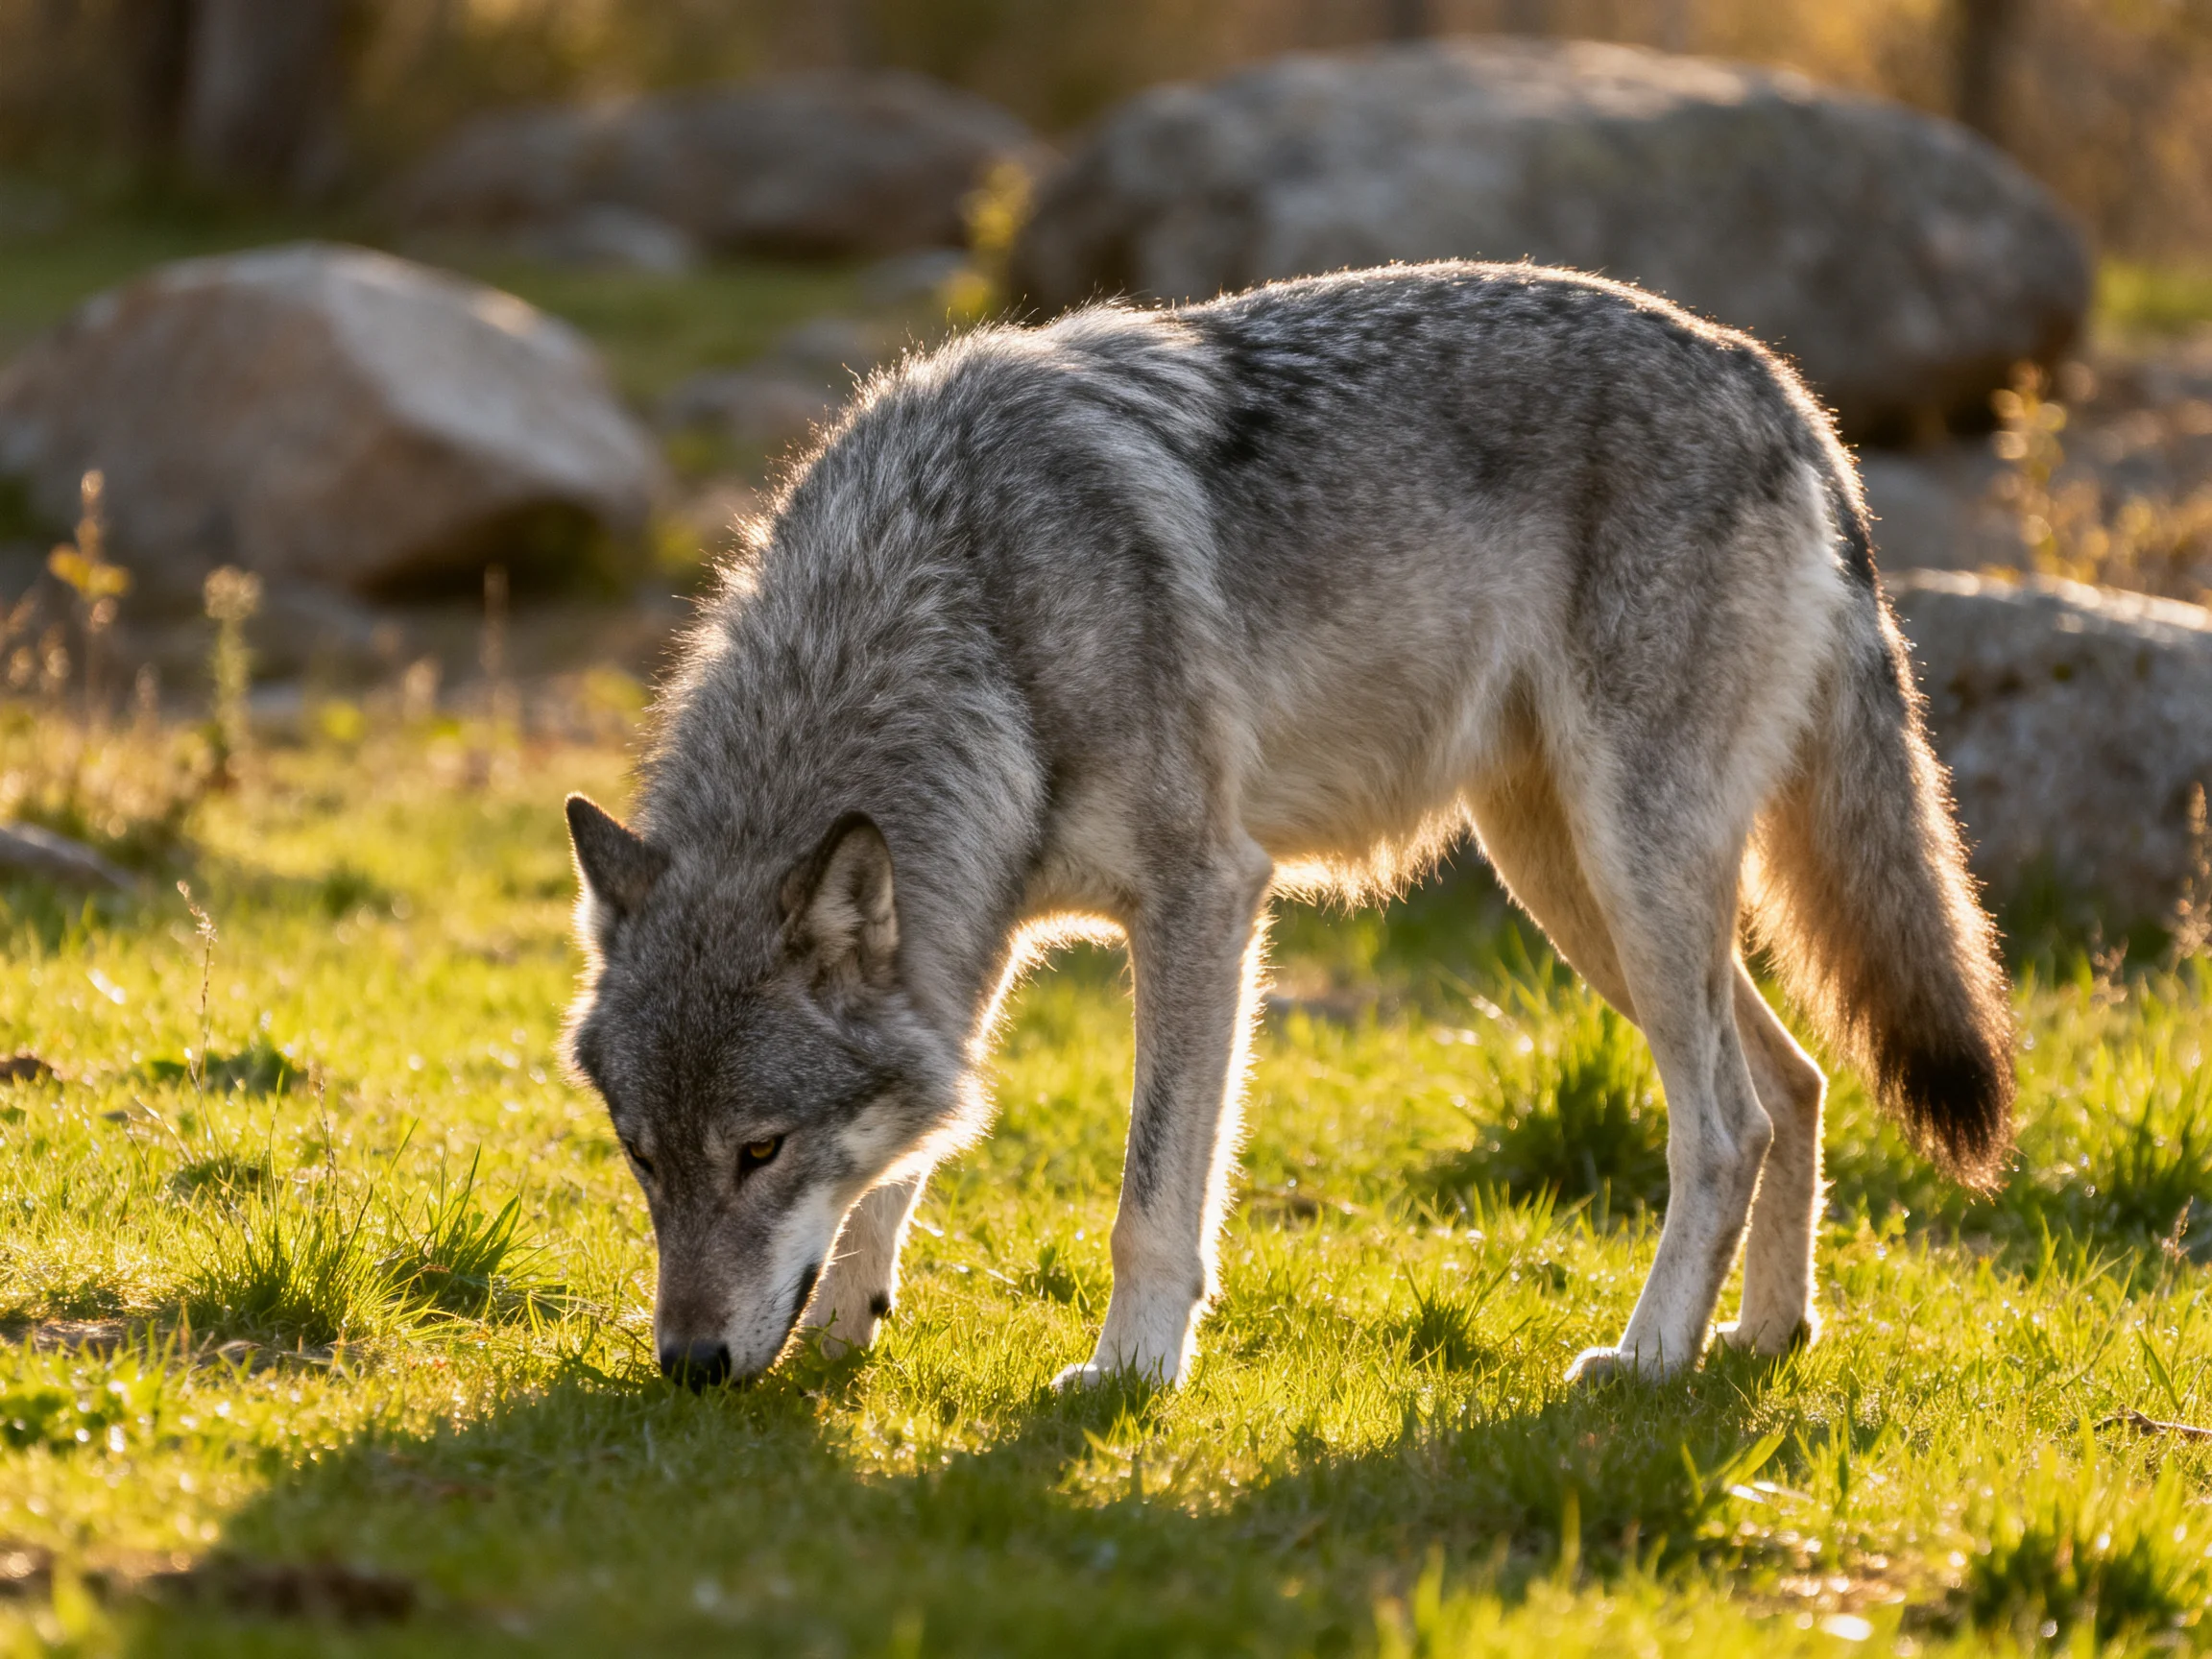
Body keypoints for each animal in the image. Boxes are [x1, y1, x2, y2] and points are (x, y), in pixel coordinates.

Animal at [563, 261, 2014, 1391]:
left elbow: (1152, 1196)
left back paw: (1652, 1356)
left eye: (759, 1151)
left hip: (1631, 875)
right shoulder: (974, 924)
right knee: (1799, 1079)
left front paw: (1129, 1372)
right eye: (641, 1159)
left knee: (1728, 1124)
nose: (687, 1366)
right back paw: (1761, 1339)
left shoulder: (1205, 897)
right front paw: (846, 1330)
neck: (961, 597)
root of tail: (1779, 386)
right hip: (1573, 888)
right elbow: (912, 1150)